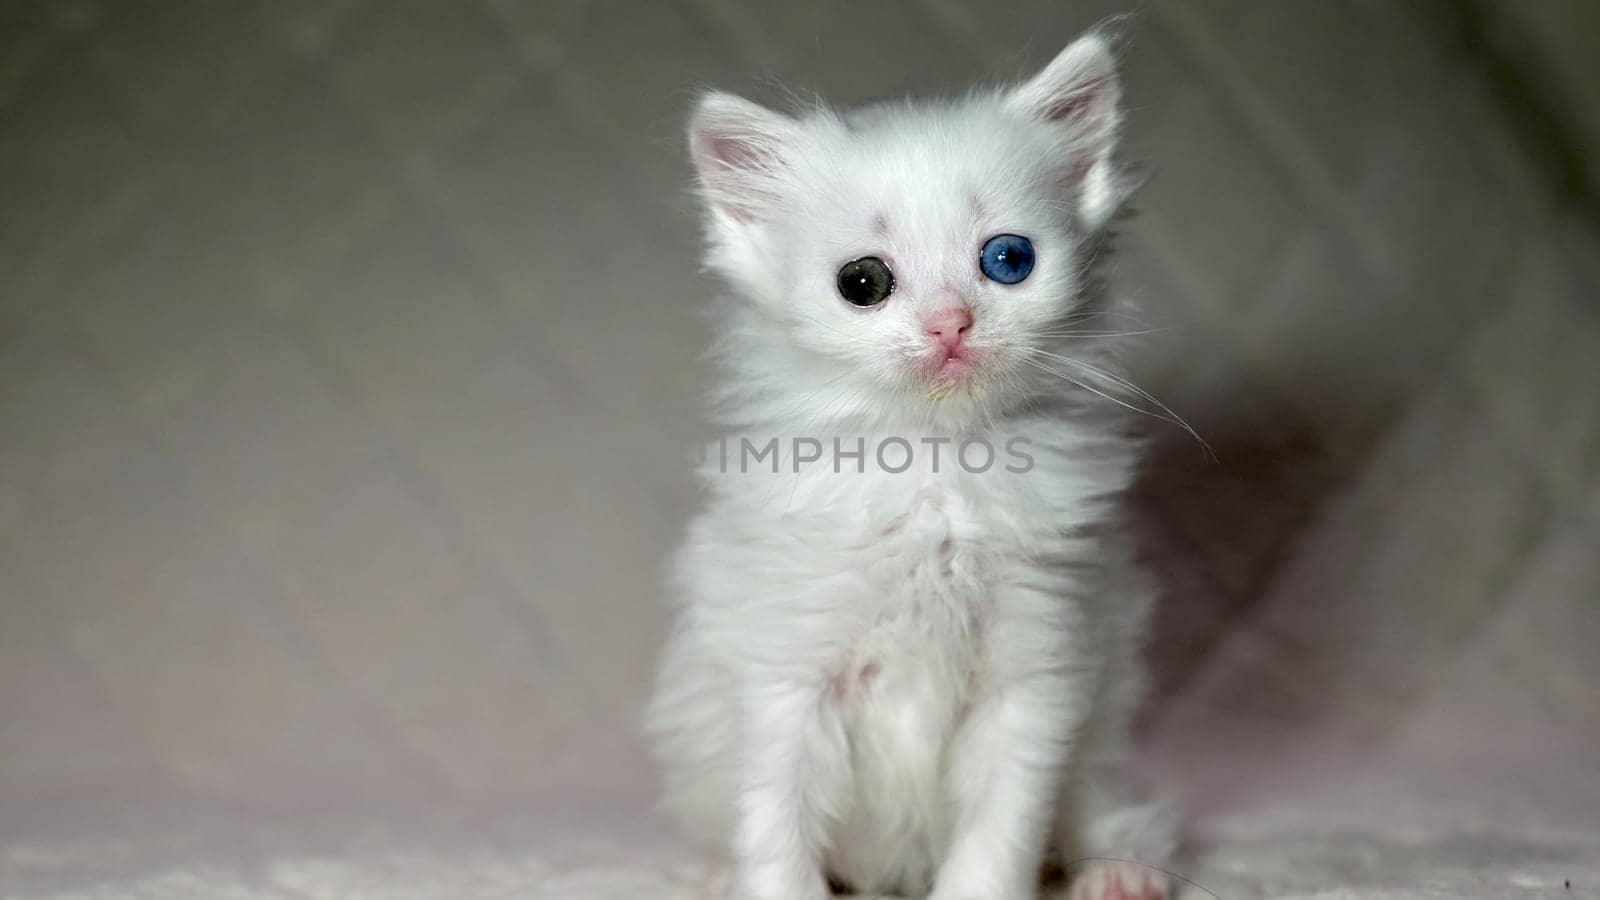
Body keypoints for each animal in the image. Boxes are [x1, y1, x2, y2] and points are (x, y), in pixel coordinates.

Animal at [646, 28, 1177, 896]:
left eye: (1008, 260)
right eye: (862, 282)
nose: (950, 323)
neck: (934, 468)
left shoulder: (1037, 669)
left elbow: (999, 835)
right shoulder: (785, 671)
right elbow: (777, 826)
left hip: (1108, 710)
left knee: (1113, 808)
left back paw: (1117, 872)